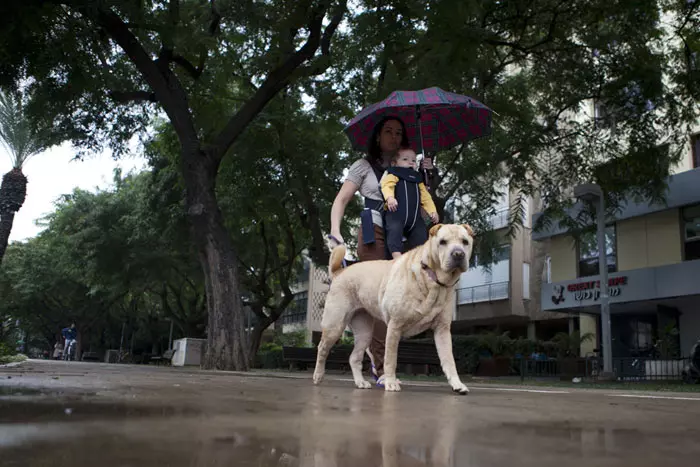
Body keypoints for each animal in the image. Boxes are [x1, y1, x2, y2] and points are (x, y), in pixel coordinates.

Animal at [314, 223, 474, 394]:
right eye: (443, 242)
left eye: (465, 242)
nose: (458, 254)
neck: (432, 280)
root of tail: (339, 272)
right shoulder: (394, 326)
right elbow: (390, 359)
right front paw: (390, 382)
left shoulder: (442, 330)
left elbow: (449, 360)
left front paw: (457, 383)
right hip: (335, 326)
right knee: (322, 348)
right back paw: (318, 375)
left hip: (364, 332)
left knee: (354, 358)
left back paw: (360, 382)